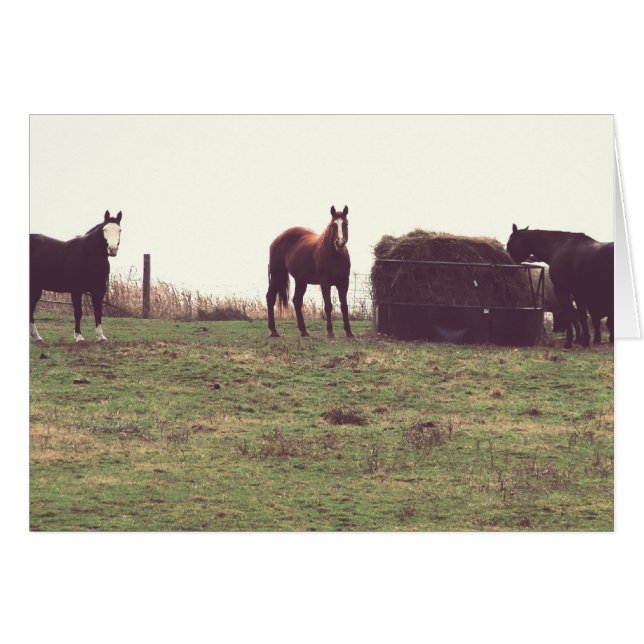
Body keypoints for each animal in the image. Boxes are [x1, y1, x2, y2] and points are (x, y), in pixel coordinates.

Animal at [30, 210, 123, 343]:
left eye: (120, 230)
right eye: (104, 229)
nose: (113, 249)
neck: (88, 254)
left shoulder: (98, 290)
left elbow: (98, 312)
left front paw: (101, 337)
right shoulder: (76, 290)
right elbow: (78, 312)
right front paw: (79, 337)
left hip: (36, 288)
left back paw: (37, 337)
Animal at [267, 205, 353, 339]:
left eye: (346, 224)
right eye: (333, 225)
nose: (340, 243)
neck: (335, 255)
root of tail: (277, 239)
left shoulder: (344, 283)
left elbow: (344, 306)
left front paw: (349, 332)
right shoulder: (325, 283)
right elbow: (328, 306)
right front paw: (330, 332)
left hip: (300, 281)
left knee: (296, 301)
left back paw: (304, 331)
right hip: (277, 276)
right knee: (270, 297)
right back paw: (274, 331)